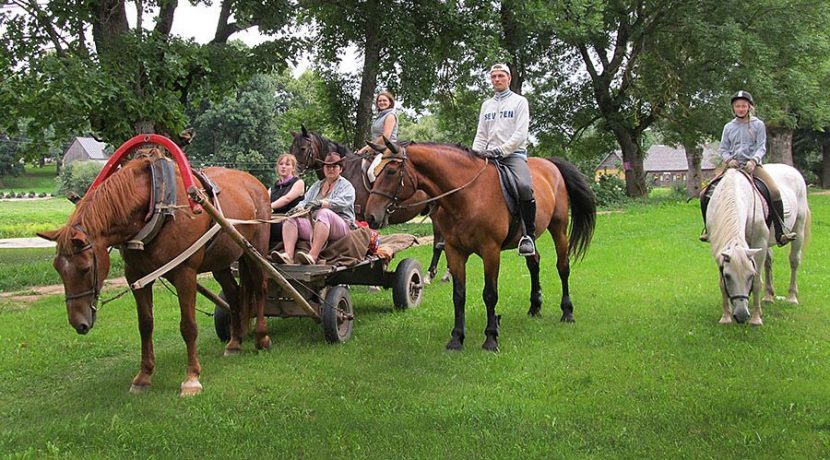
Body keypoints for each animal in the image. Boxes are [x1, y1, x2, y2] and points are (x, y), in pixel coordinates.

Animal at [37, 154, 272, 396]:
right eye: (58, 268)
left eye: (85, 268)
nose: (79, 323)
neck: (159, 202)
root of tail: (255, 183)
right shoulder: (136, 276)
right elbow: (145, 325)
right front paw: (144, 376)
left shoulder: (185, 273)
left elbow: (188, 326)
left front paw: (191, 377)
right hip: (222, 260)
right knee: (234, 294)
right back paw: (235, 342)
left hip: (255, 250)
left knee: (260, 287)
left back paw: (262, 336)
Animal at [290, 126, 452, 284]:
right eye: (292, 149)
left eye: (303, 148)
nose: (293, 172)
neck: (347, 171)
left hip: (438, 214)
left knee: (440, 242)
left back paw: (434, 274)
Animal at [366, 142, 600, 350]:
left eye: (391, 171)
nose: (370, 216)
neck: (467, 195)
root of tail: (550, 164)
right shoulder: (454, 251)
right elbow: (458, 295)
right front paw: (456, 339)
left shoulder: (490, 251)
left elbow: (489, 294)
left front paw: (491, 338)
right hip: (530, 239)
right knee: (534, 263)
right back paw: (535, 307)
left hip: (559, 228)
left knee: (563, 267)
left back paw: (567, 312)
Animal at [704, 164, 816, 326]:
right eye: (728, 276)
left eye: (750, 276)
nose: (741, 315)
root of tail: (793, 170)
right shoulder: (718, 246)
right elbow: (722, 284)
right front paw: (726, 317)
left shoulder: (759, 242)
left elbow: (757, 282)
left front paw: (756, 319)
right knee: (769, 262)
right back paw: (768, 297)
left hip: (798, 229)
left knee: (794, 261)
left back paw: (792, 297)